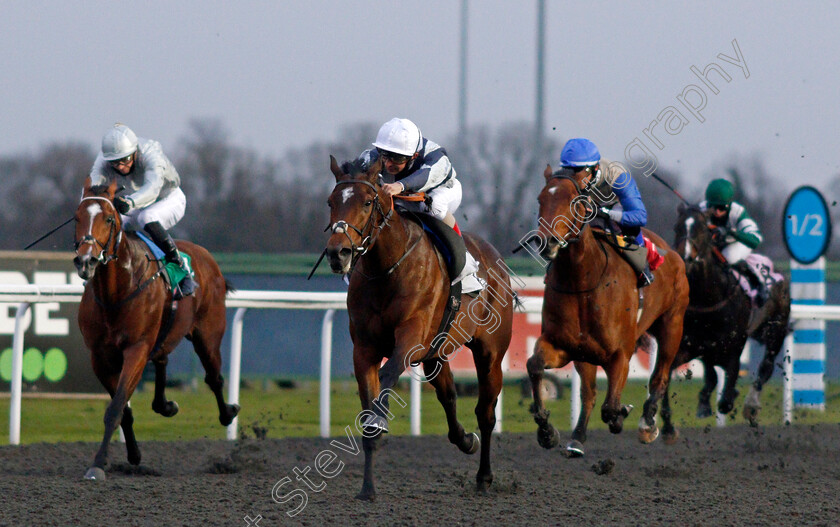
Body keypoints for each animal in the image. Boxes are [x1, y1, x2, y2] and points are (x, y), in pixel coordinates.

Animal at [72, 178, 240, 482]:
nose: (85, 261)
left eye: (109, 218)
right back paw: (165, 405)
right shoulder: (99, 357)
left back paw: (227, 413)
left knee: (214, 377)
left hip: (208, 335)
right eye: (77, 218)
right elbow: (122, 408)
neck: (117, 291)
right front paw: (132, 455)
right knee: (162, 359)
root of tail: (206, 257)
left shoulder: (137, 348)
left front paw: (98, 464)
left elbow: (116, 407)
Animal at [326, 156, 512, 500]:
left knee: (486, 412)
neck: (387, 269)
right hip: (436, 353)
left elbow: (387, 375)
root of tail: (495, 256)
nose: (337, 253)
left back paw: (484, 476)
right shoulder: (365, 350)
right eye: (331, 202)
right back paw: (465, 440)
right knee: (449, 395)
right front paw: (367, 489)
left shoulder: (410, 338)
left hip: (490, 353)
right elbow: (369, 397)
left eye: (368, 201)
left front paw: (380, 419)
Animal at [532, 166, 688, 458]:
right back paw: (577, 438)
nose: (547, 242)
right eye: (540, 199)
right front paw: (547, 431)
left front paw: (624, 414)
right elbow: (536, 365)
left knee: (660, 377)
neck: (582, 281)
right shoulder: (566, 346)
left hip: (672, 325)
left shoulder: (620, 353)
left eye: (573, 201)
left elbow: (611, 407)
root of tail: (671, 252)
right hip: (586, 354)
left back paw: (649, 425)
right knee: (590, 393)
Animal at [668, 204, 792, 432]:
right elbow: (710, 372)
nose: (685, 257)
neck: (710, 295)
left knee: (766, 367)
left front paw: (729, 396)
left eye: (701, 229)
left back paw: (751, 406)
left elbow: (728, 384)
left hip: (776, 330)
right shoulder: (698, 341)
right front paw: (704, 403)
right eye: (677, 227)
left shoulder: (735, 344)